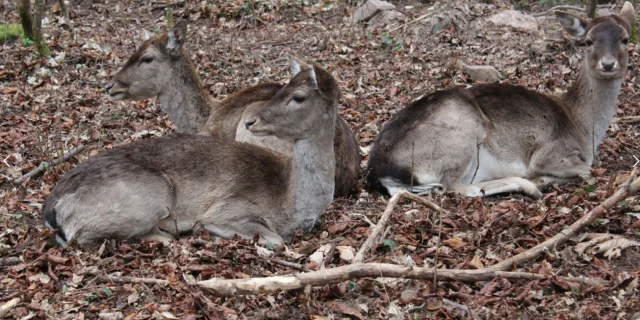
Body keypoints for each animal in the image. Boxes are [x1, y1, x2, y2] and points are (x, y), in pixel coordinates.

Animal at [45, 57, 340, 248]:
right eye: (282, 89)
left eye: (298, 96)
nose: (251, 121)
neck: (293, 203)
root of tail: (52, 208)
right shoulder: (229, 207)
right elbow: (276, 240)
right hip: (150, 195)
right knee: (85, 238)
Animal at [364, 1, 636, 198]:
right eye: (588, 41)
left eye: (625, 39)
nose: (608, 64)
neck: (583, 129)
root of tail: (379, 170)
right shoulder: (551, 152)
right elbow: (589, 169)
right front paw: (544, 177)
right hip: (463, 133)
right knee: (457, 187)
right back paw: (532, 185)